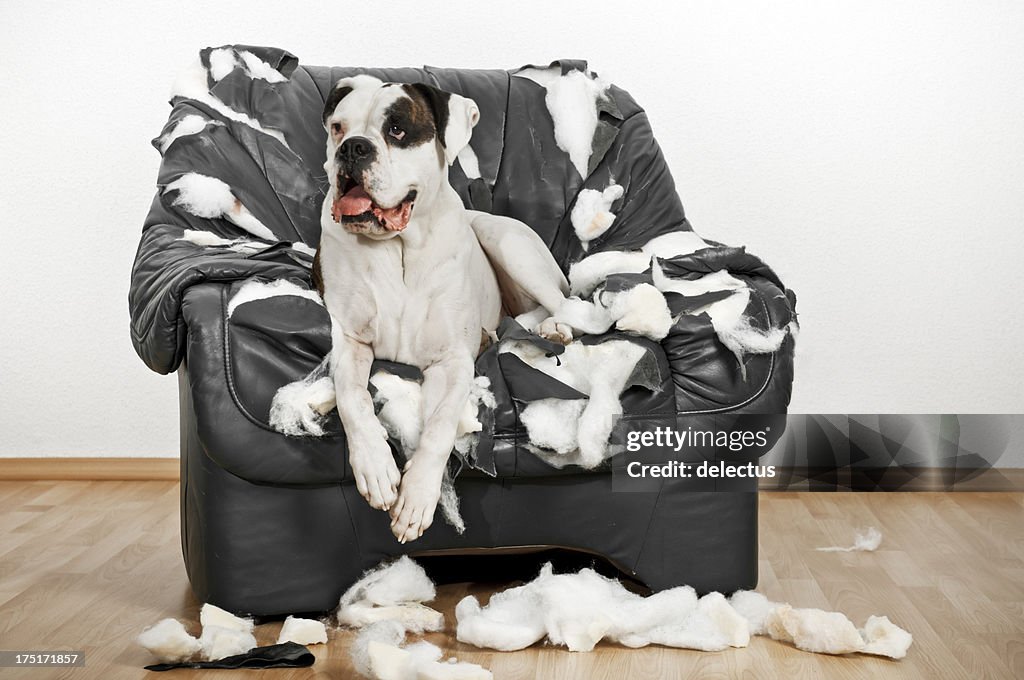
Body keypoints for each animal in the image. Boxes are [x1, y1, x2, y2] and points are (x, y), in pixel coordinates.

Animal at [317, 75, 577, 540]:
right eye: (337, 128)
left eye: (397, 129)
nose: (352, 148)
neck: (398, 248)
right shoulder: (349, 341)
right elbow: (352, 398)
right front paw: (376, 468)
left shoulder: (454, 360)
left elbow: (438, 427)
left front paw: (419, 497)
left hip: (505, 241)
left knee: (563, 303)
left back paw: (555, 329)